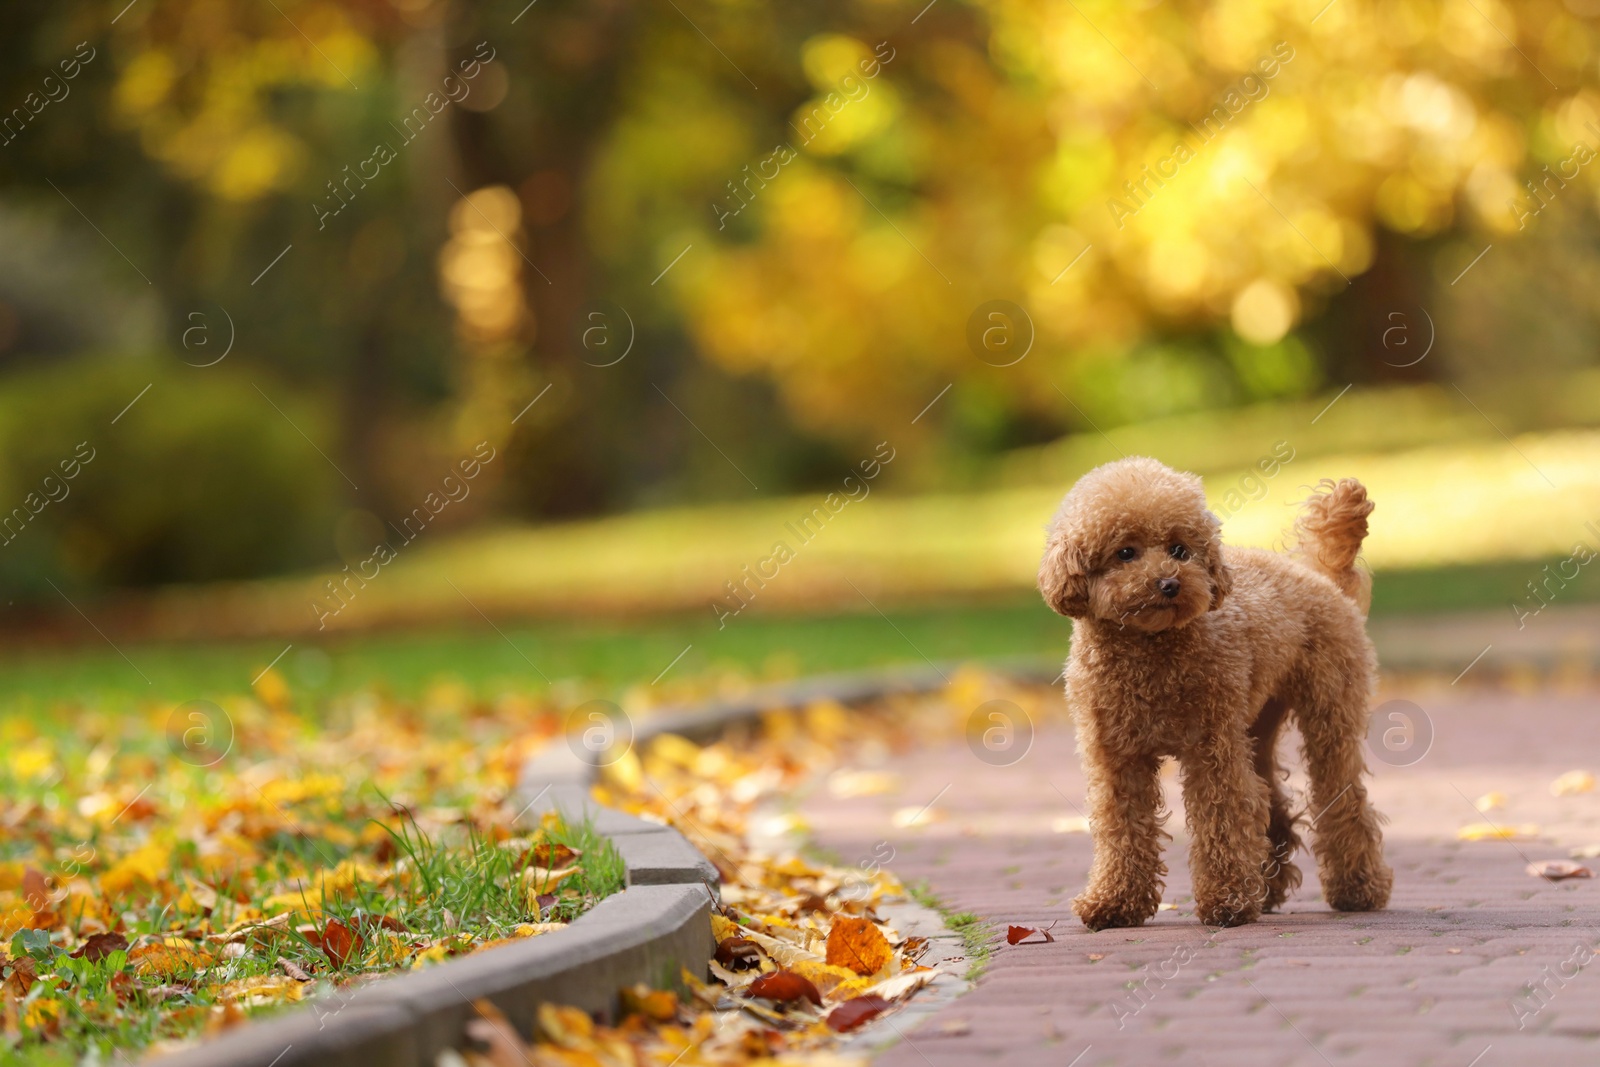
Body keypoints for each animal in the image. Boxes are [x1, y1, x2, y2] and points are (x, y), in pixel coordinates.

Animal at [1036, 454, 1388, 927]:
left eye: (1179, 550)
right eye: (1125, 552)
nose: (1169, 584)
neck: (1150, 650)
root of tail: (1318, 574)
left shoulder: (1210, 748)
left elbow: (1221, 814)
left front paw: (1227, 900)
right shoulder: (1116, 756)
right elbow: (1122, 825)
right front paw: (1114, 902)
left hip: (1327, 714)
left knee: (1341, 797)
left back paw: (1357, 889)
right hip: (1256, 726)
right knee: (1268, 801)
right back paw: (1268, 887)